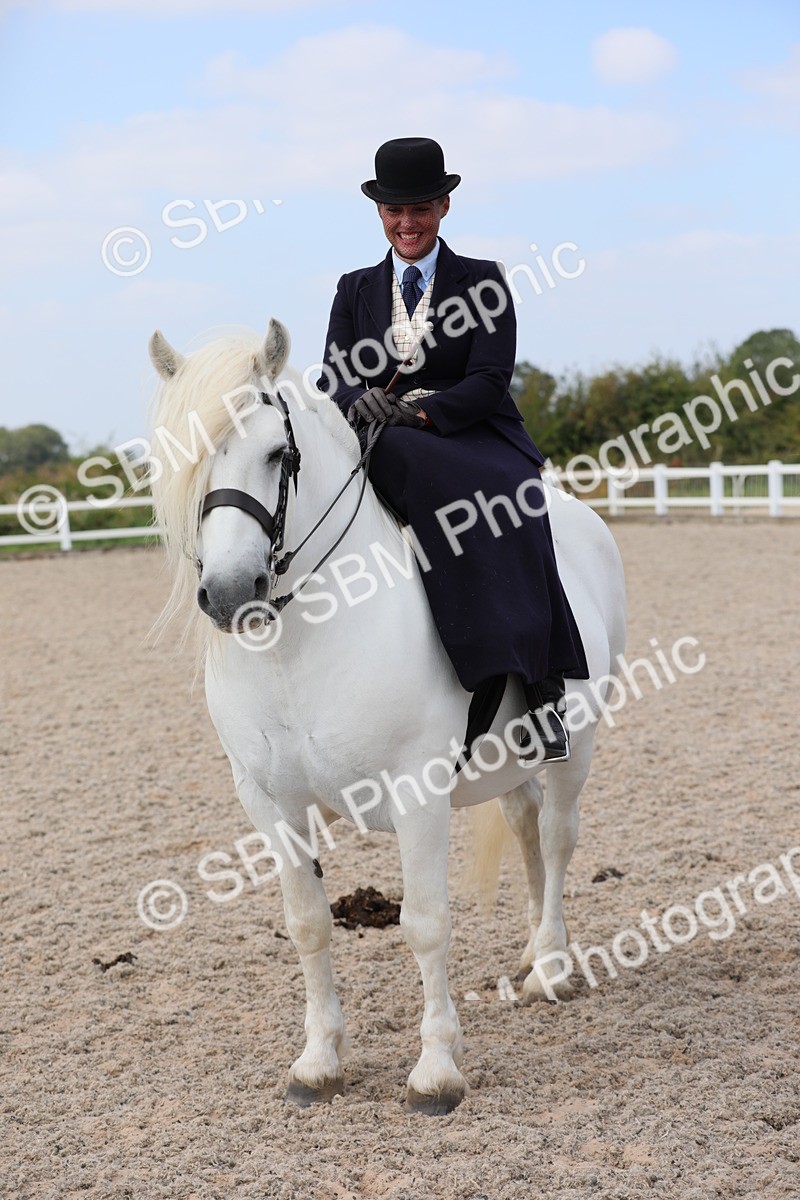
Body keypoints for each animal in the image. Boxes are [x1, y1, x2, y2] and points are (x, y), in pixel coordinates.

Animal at [147, 317, 626, 1115]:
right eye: (184, 460)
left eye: (277, 454)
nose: (230, 593)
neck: (299, 643)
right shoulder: (267, 800)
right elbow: (307, 923)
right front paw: (318, 1061)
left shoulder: (417, 792)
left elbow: (425, 925)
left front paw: (436, 1070)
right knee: (527, 828)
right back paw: (532, 952)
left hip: (579, 745)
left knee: (559, 838)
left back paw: (554, 966)